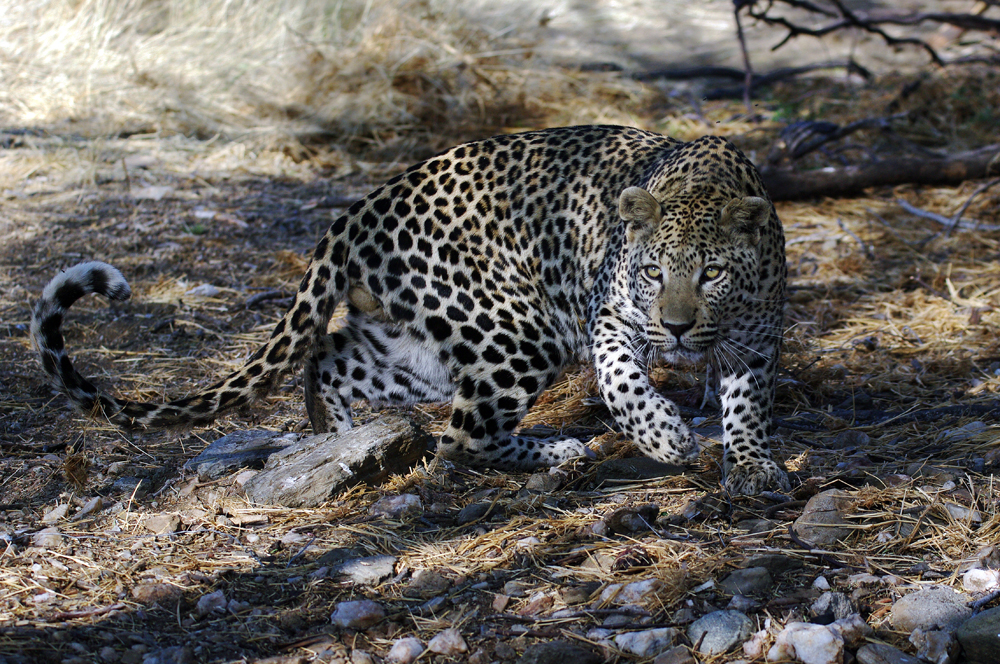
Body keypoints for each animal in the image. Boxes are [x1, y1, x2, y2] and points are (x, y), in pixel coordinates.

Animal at [31, 124, 792, 492]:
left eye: (713, 273)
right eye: (653, 273)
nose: (677, 329)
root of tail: (358, 209)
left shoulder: (756, 342)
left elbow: (749, 405)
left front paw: (754, 465)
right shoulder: (609, 319)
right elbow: (626, 381)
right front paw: (665, 437)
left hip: (419, 345)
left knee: (331, 359)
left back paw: (335, 445)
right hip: (517, 330)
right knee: (461, 437)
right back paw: (556, 451)